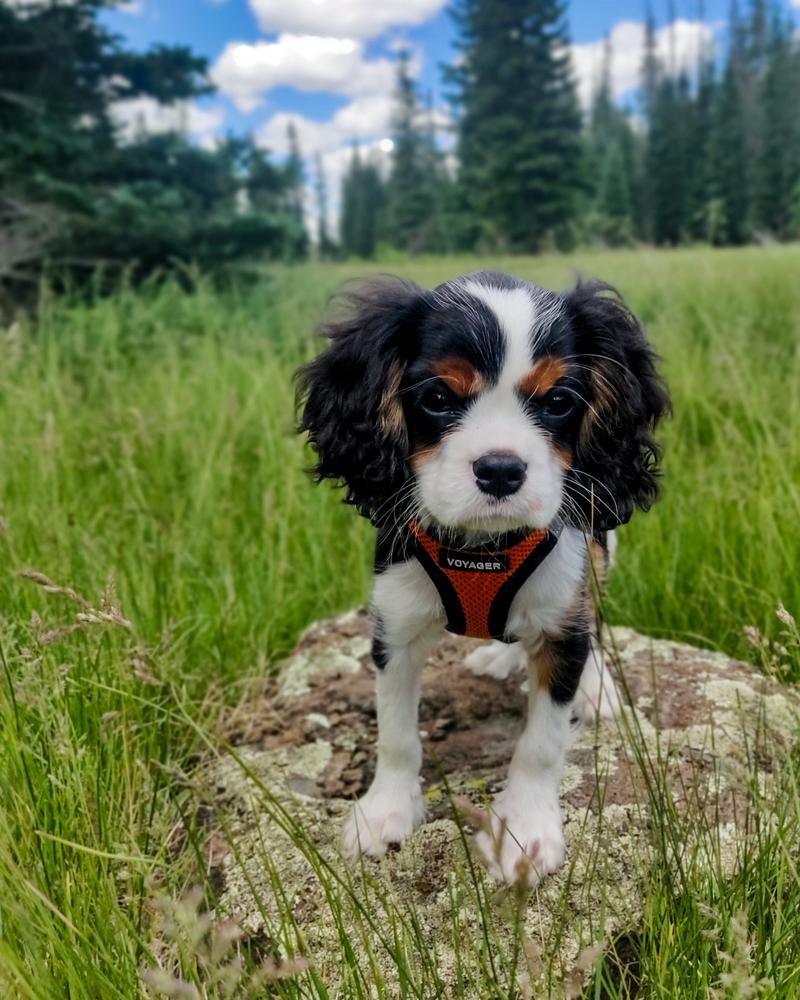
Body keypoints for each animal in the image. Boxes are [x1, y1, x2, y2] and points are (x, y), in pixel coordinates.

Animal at [296, 270, 664, 888]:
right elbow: (396, 733)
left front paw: (525, 830)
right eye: (438, 399)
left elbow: (543, 741)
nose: (500, 469)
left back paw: (596, 687)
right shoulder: (394, 626)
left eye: (559, 401)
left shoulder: (563, 621)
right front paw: (385, 811)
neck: (483, 548)